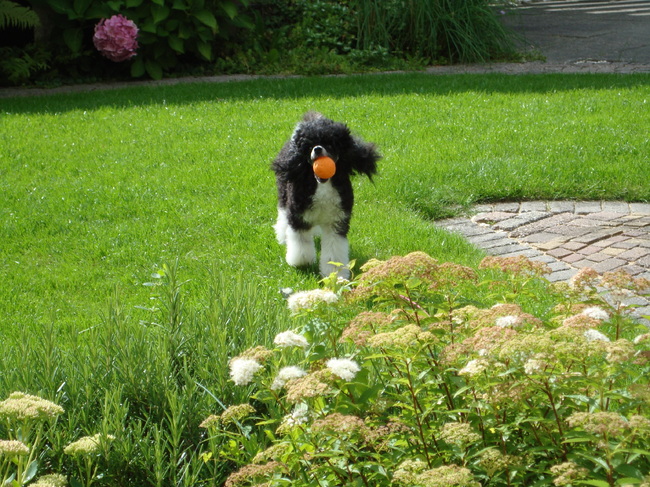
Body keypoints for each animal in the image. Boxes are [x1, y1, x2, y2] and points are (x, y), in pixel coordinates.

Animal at [272, 112, 380, 278]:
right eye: (309, 145)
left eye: (330, 144)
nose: (317, 149)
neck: (322, 184)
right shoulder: (299, 216)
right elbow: (300, 243)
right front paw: (302, 262)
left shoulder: (336, 221)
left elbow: (334, 250)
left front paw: (334, 273)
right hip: (284, 194)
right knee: (283, 215)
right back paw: (283, 236)